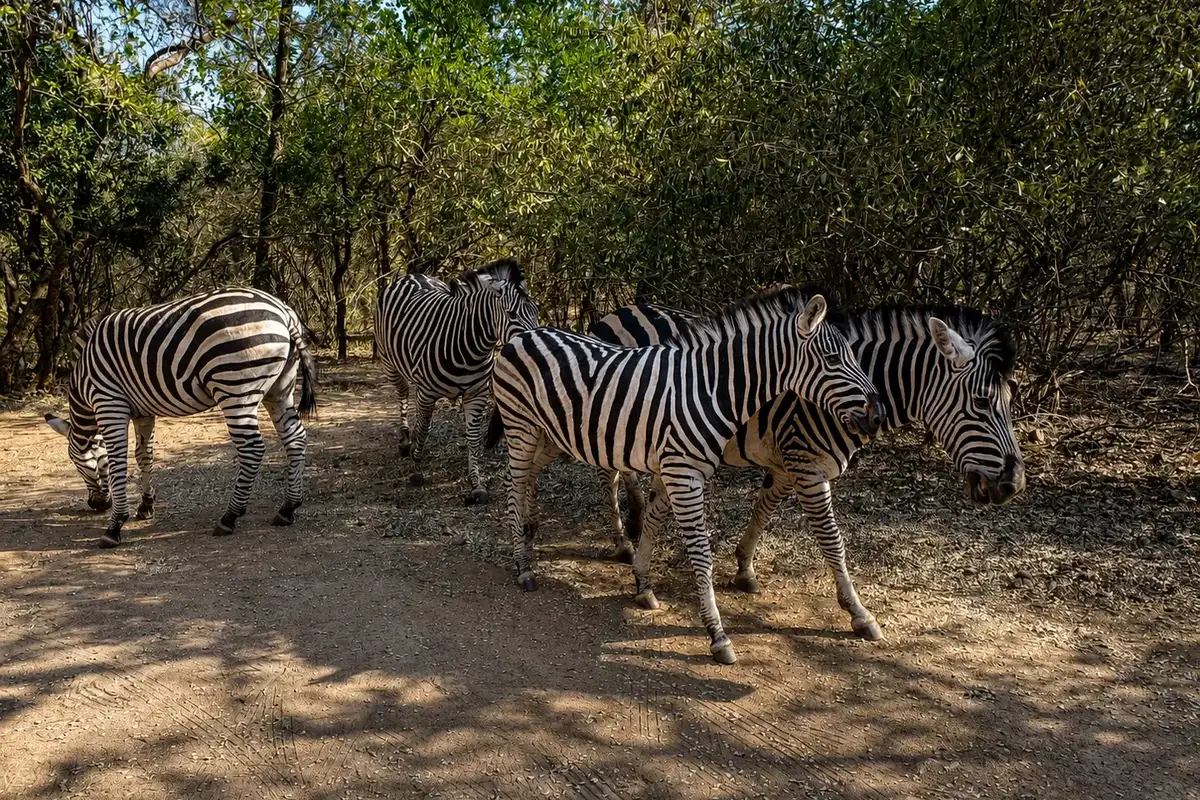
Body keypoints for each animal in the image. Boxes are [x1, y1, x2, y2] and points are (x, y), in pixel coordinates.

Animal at [43, 288, 318, 548]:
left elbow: (117, 462)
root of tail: (282, 311)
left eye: (76, 463)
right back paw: (288, 508)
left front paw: (114, 526)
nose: (96, 505)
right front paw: (146, 506)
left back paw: (230, 517)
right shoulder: (143, 411)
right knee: (295, 438)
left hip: (236, 387)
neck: (84, 378)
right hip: (279, 388)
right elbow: (144, 455)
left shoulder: (109, 402)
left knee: (252, 448)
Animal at [375, 258, 538, 504]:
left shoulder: (477, 395)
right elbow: (424, 428)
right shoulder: (427, 392)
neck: (471, 346)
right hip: (389, 363)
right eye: (511, 314)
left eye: (536, 311)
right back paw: (405, 441)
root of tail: (413, 275)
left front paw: (476, 484)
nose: (533, 347)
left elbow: (473, 438)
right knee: (402, 394)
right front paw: (416, 470)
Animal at [489, 287, 884, 664]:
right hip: (521, 425)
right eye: (833, 359)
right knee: (513, 484)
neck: (710, 390)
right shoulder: (684, 475)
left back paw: (527, 534)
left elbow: (654, 522)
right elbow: (700, 553)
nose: (877, 414)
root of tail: (525, 334)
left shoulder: (674, 468)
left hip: (551, 434)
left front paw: (644, 586)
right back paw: (523, 566)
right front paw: (718, 635)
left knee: (522, 478)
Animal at [588, 301, 1025, 640]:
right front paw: (858, 613)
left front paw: (744, 567)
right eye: (982, 402)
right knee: (609, 477)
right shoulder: (809, 467)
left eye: (1009, 400)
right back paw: (624, 540)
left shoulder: (787, 465)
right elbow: (833, 543)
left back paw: (638, 529)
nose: (1014, 485)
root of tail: (615, 311)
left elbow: (763, 510)